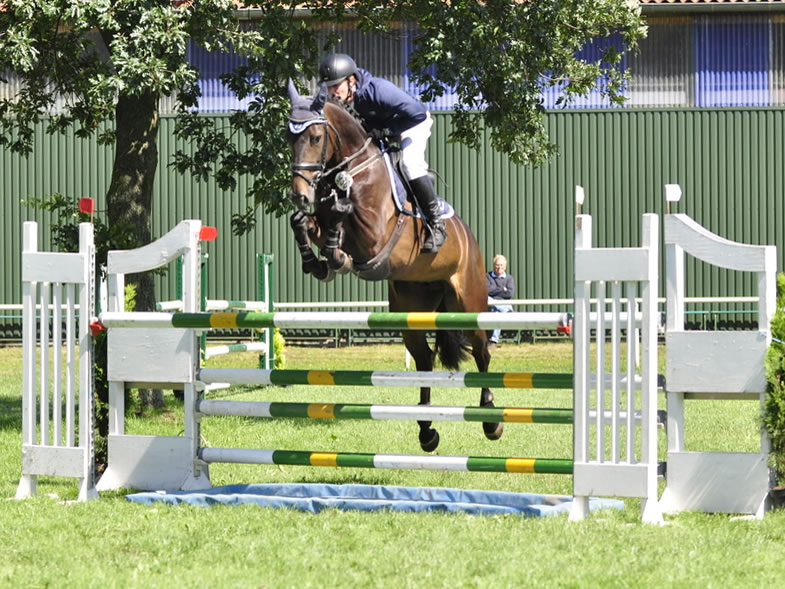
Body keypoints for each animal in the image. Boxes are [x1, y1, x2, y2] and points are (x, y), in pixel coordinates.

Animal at [284, 82, 500, 450]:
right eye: (288, 137)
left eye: (315, 137)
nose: (299, 193)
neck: (354, 169)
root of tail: (469, 237)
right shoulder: (318, 217)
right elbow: (302, 222)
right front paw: (318, 262)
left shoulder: (375, 236)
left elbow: (342, 214)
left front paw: (336, 256)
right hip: (412, 308)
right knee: (424, 360)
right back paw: (427, 431)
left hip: (469, 300)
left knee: (482, 352)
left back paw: (491, 421)